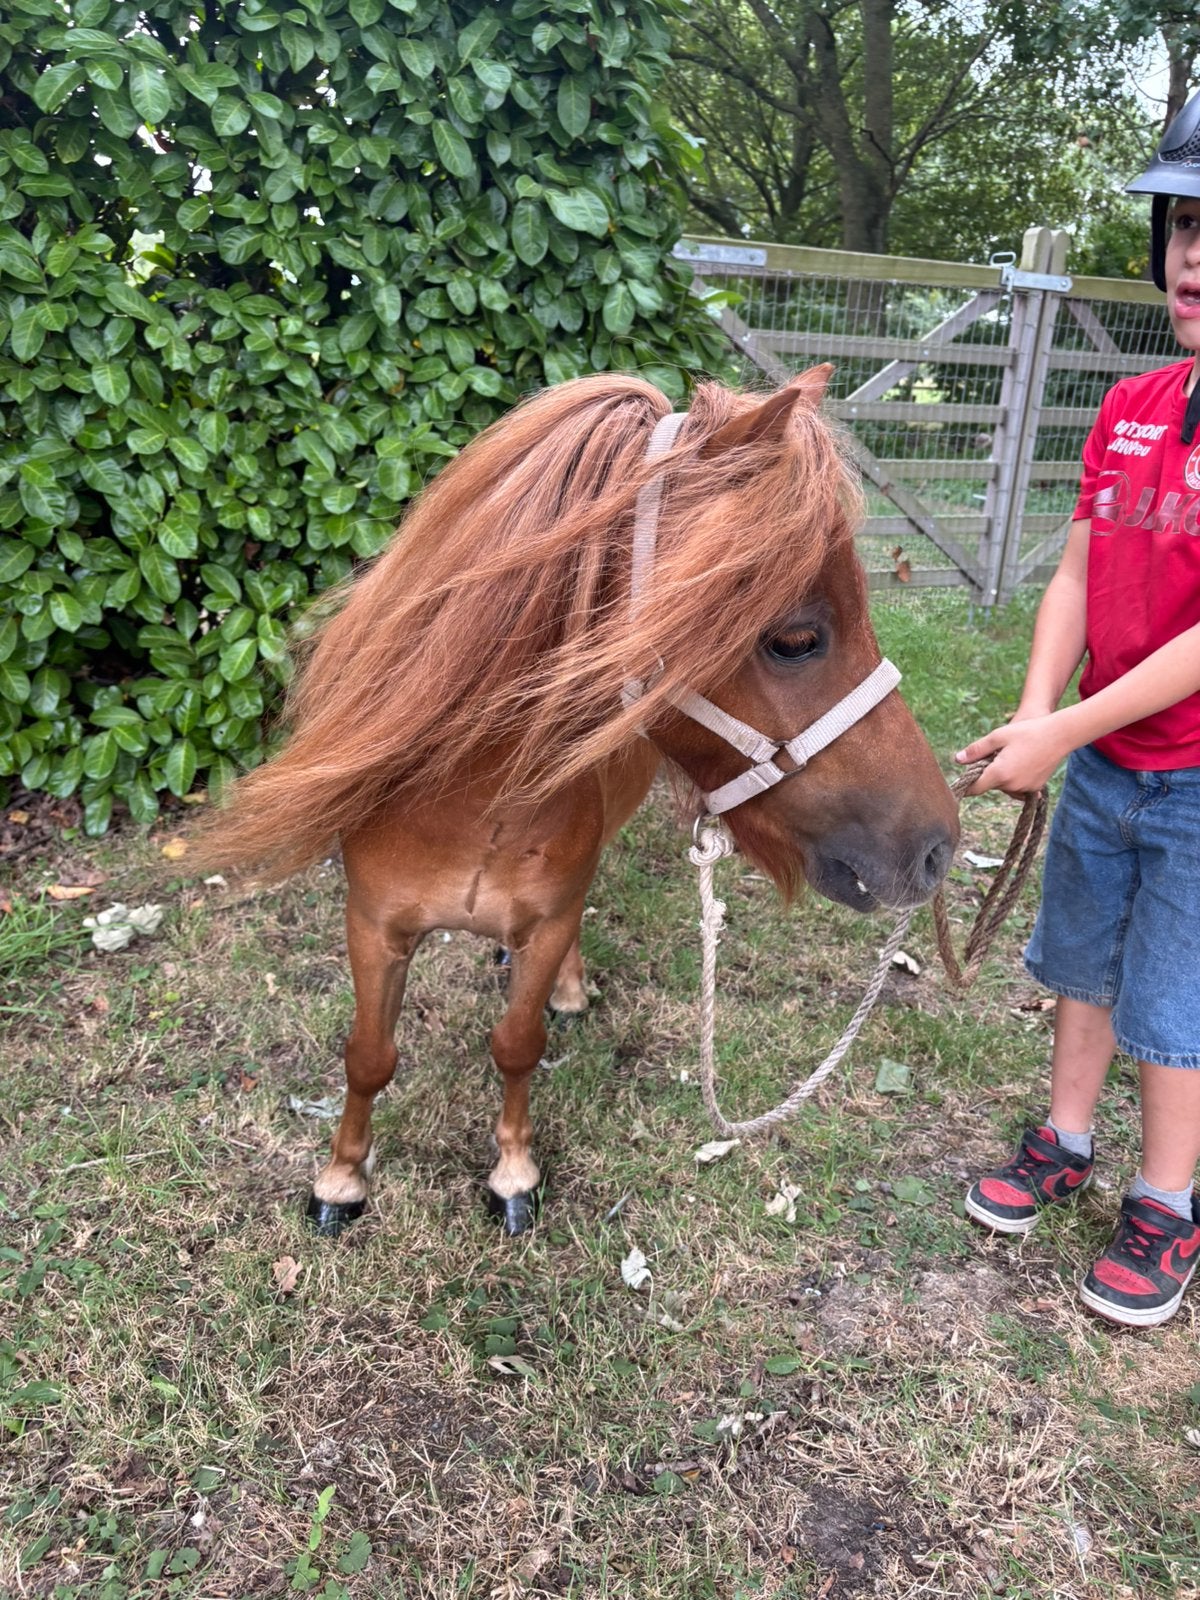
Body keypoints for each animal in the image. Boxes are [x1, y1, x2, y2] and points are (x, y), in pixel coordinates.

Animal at [199, 367, 959, 1235]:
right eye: (796, 639)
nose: (937, 845)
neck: (471, 805)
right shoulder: (373, 926)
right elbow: (367, 1055)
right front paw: (341, 1179)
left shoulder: (548, 916)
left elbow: (516, 1043)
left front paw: (513, 1172)